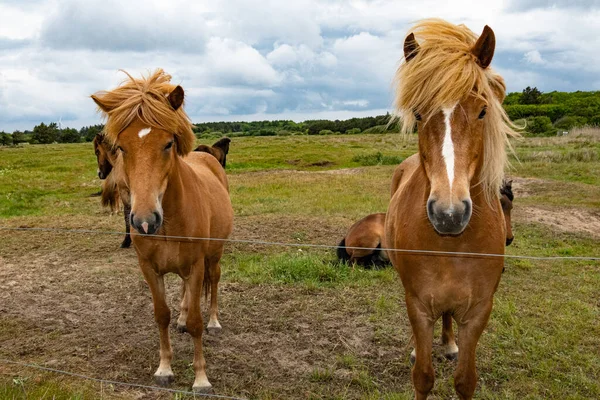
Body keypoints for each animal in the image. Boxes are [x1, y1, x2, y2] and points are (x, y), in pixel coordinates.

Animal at [91, 69, 232, 394]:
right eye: (121, 147)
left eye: (168, 144)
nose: (145, 221)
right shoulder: (149, 268)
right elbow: (161, 315)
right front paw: (164, 368)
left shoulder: (196, 265)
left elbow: (195, 322)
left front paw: (201, 379)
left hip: (214, 256)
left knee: (214, 282)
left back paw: (215, 322)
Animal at [384, 20, 520, 398]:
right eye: (418, 114)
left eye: (483, 110)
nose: (448, 214)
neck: (452, 245)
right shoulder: (417, 305)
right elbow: (422, 376)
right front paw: (420, 355)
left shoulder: (479, 312)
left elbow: (465, 380)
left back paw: (447, 343)